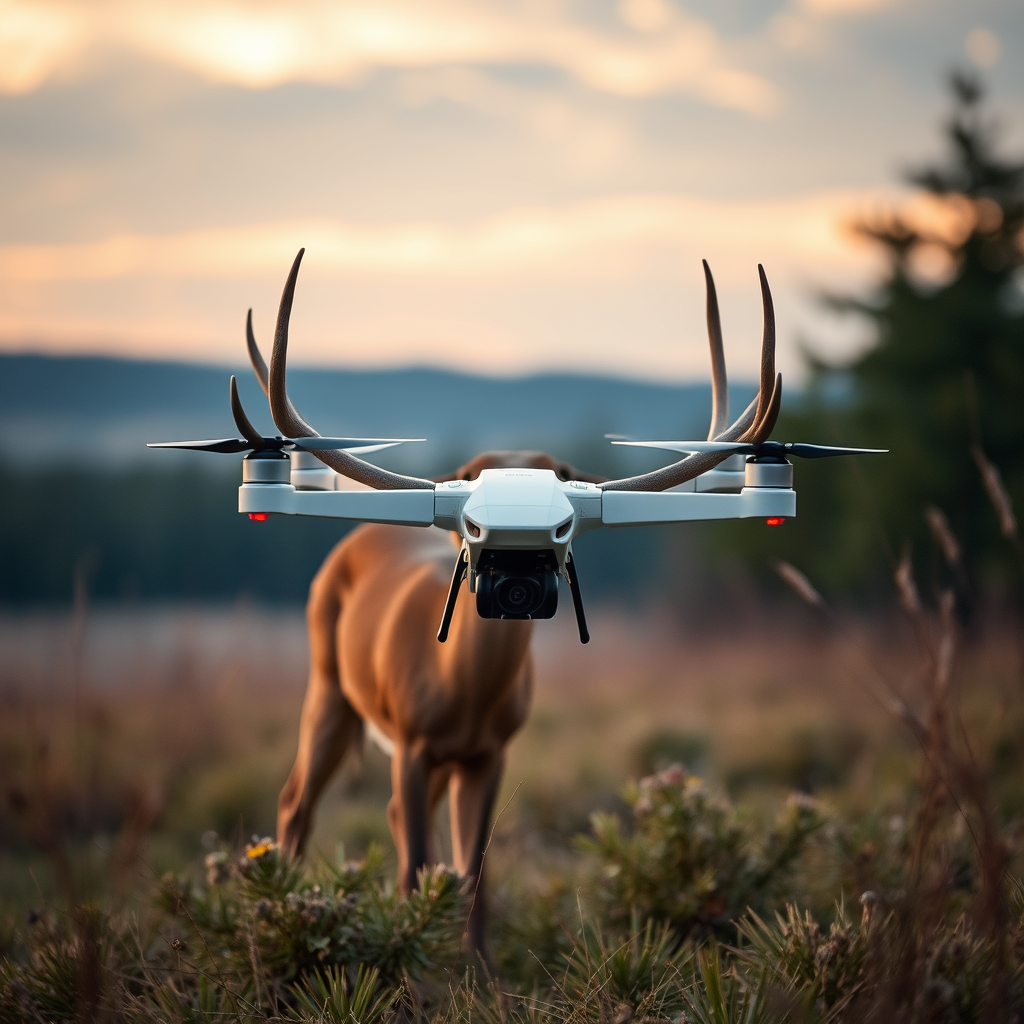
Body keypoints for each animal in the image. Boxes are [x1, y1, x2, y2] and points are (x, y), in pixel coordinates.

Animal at [243, 250, 780, 957]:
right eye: (471, 476)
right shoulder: (411, 742)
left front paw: (474, 972)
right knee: (295, 801)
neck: (463, 693)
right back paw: (275, 920)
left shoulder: (491, 752)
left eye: (565, 473)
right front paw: (411, 967)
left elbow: (472, 871)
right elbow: (419, 865)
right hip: (330, 686)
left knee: (392, 822)